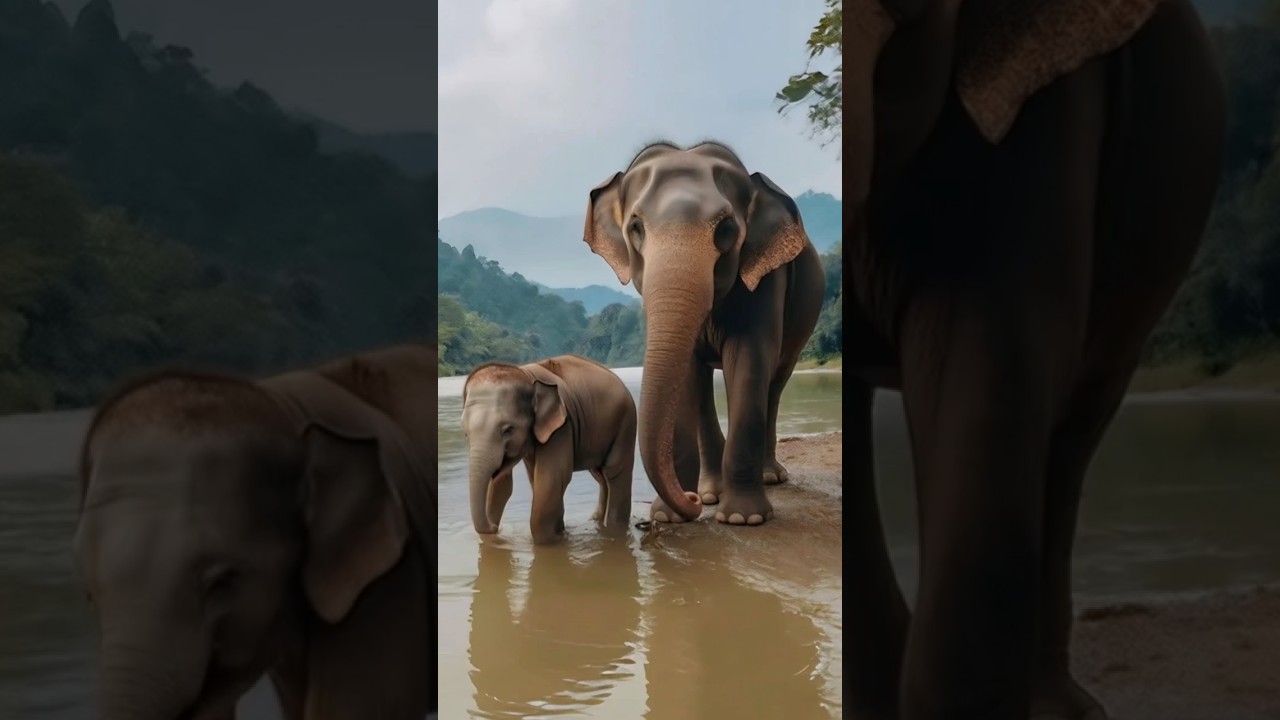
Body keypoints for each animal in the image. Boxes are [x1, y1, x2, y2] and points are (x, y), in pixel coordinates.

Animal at [461, 354, 635, 545]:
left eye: (508, 430)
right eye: (466, 434)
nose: (494, 527)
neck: (525, 374)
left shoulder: (562, 428)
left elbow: (552, 478)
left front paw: (558, 540)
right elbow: (507, 484)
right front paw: (561, 532)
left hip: (626, 423)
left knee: (614, 472)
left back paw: (613, 529)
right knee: (600, 476)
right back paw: (596, 519)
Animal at [582, 141, 825, 526]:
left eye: (725, 229)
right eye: (636, 227)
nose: (692, 500)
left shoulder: (766, 282)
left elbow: (749, 362)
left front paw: (743, 518)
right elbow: (689, 375)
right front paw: (672, 515)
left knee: (774, 383)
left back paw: (770, 477)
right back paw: (713, 492)